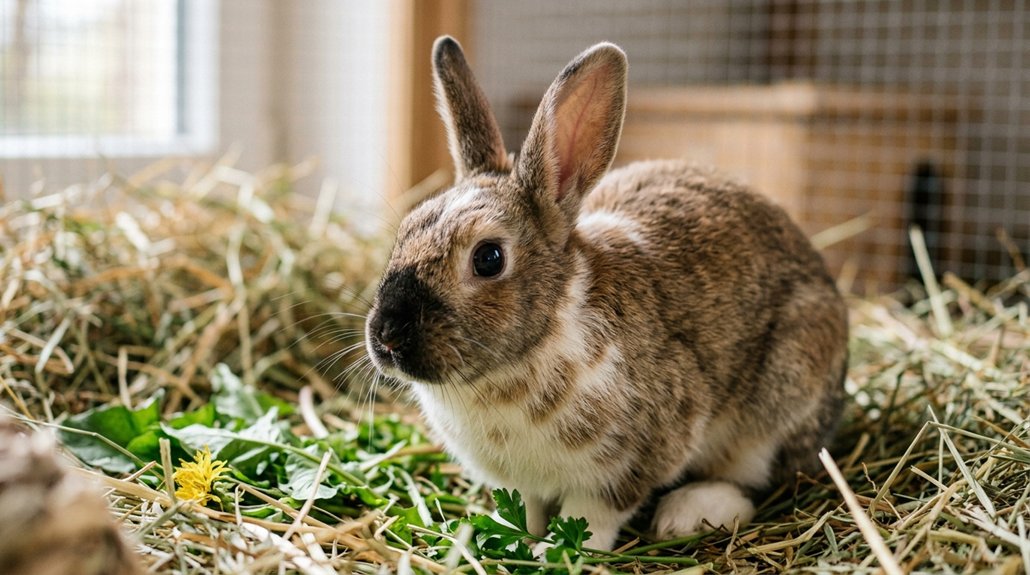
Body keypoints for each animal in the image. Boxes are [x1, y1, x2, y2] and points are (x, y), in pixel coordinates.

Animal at [364, 36, 848, 551]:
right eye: (406, 230)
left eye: (489, 258)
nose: (388, 336)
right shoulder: (521, 481)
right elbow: (526, 509)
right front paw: (515, 540)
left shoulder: (631, 460)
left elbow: (592, 514)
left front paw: (558, 550)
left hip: (781, 399)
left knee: (758, 480)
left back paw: (687, 513)